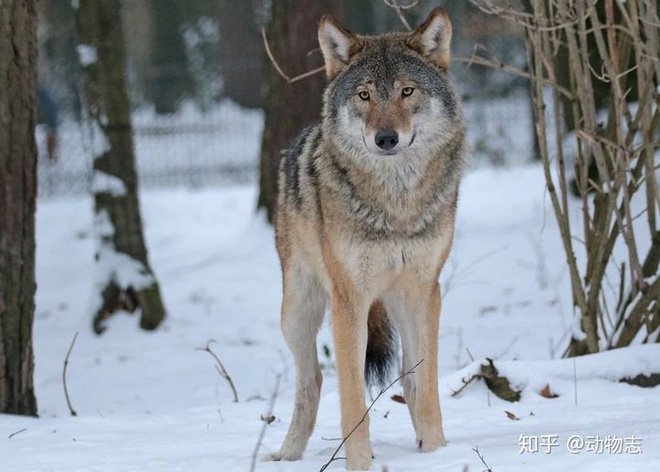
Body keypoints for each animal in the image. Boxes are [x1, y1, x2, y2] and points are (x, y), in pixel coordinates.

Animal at [262, 9, 464, 470]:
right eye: (365, 95)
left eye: (407, 91)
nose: (386, 138)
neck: (396, 204)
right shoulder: (349, 298)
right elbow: (353, 398)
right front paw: (359, 462)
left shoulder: (425, 291)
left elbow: (426, 388)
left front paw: (437, 451)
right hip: (296, 312)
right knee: (314, 379)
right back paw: (288, 452)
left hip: (395, 304)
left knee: (407, 379)